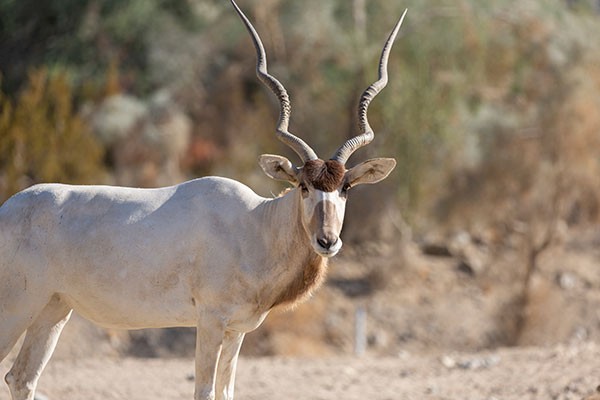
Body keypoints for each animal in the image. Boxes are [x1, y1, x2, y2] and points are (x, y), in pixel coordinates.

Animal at [0, 1, 408, 398]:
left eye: (346, 187)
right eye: (304, 186)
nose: (327, 241)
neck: (256, 225)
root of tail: (7, 210)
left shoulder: (237, 329)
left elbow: (227, 391)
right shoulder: (210, 321)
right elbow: (205, 390)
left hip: (52, 309)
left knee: (21, 378)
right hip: (17, 308)